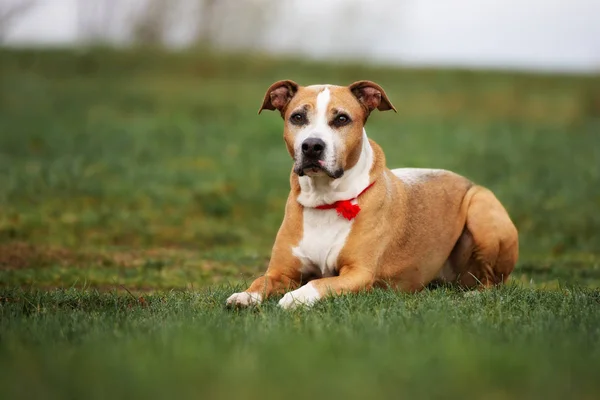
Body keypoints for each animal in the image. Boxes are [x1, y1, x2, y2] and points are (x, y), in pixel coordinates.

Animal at [227, 79, 516, 310]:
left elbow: (320, 283)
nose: (311, 146)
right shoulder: (281, 271)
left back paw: (474, 296)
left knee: (492, 281)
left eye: (341, 119)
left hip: (481, 208)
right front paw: (245, 296)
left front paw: (295, 297)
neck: (326, 201)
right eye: (297, 117)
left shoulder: (358, 273)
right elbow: (261, 280)